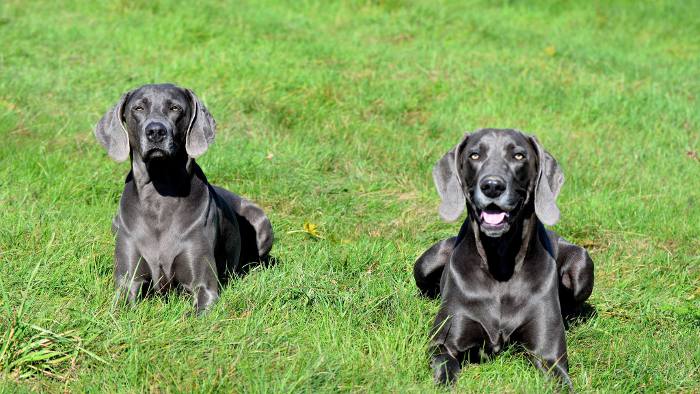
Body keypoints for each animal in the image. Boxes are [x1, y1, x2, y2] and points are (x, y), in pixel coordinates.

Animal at [95, 83, 274, 314]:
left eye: (175, 108)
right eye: (138, 108)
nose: (155, 131)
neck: (159, 195)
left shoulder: (204, 286)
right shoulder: (127, 282)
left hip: (261, 220)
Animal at [412, 129, 592, 388]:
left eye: (519, 155)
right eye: (474, 155)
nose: (492, 186)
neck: (501, 259)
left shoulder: (550, 357)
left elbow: (562, 381)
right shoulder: (443, 345)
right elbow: (445, 369)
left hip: (582, 265)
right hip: (425, 264)